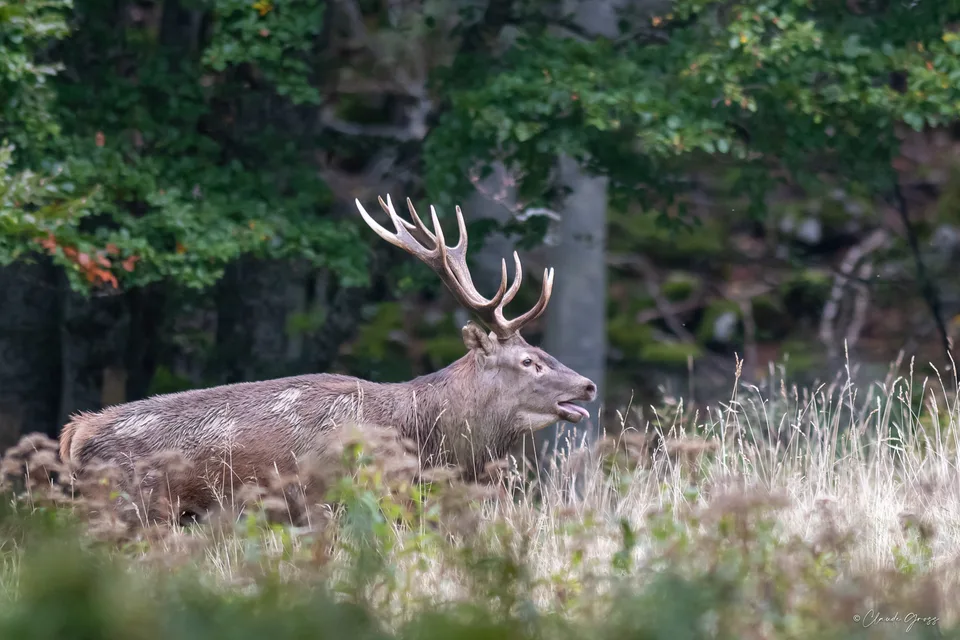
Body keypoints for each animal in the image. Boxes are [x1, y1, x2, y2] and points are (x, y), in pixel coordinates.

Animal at [57, 194, 597, 524]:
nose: (589, 385)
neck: (421, 441)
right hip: (130, 506)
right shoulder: (337, 499)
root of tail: (75, 432)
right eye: (529, 361)